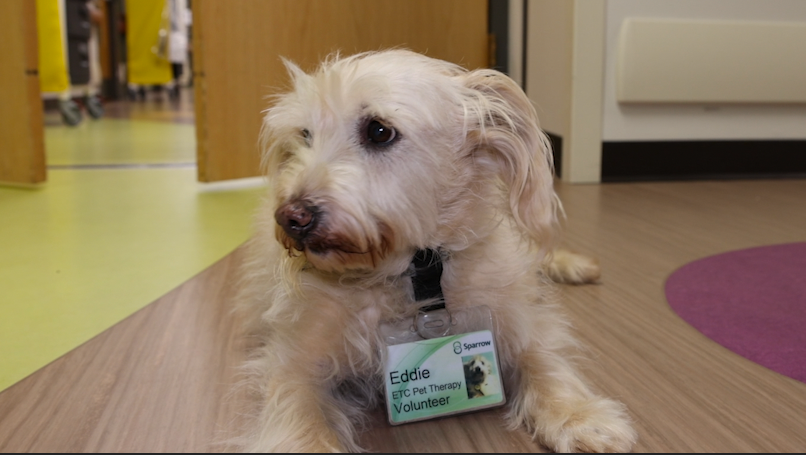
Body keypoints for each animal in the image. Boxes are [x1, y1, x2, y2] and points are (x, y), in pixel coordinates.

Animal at [240, 50, 636, 452]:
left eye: (379, 131)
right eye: (305, 136)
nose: (291, 217)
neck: (418, 272)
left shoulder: (518, 319)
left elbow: (543, 359)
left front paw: (578, 415)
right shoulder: (296, 361)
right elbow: (303, 418)